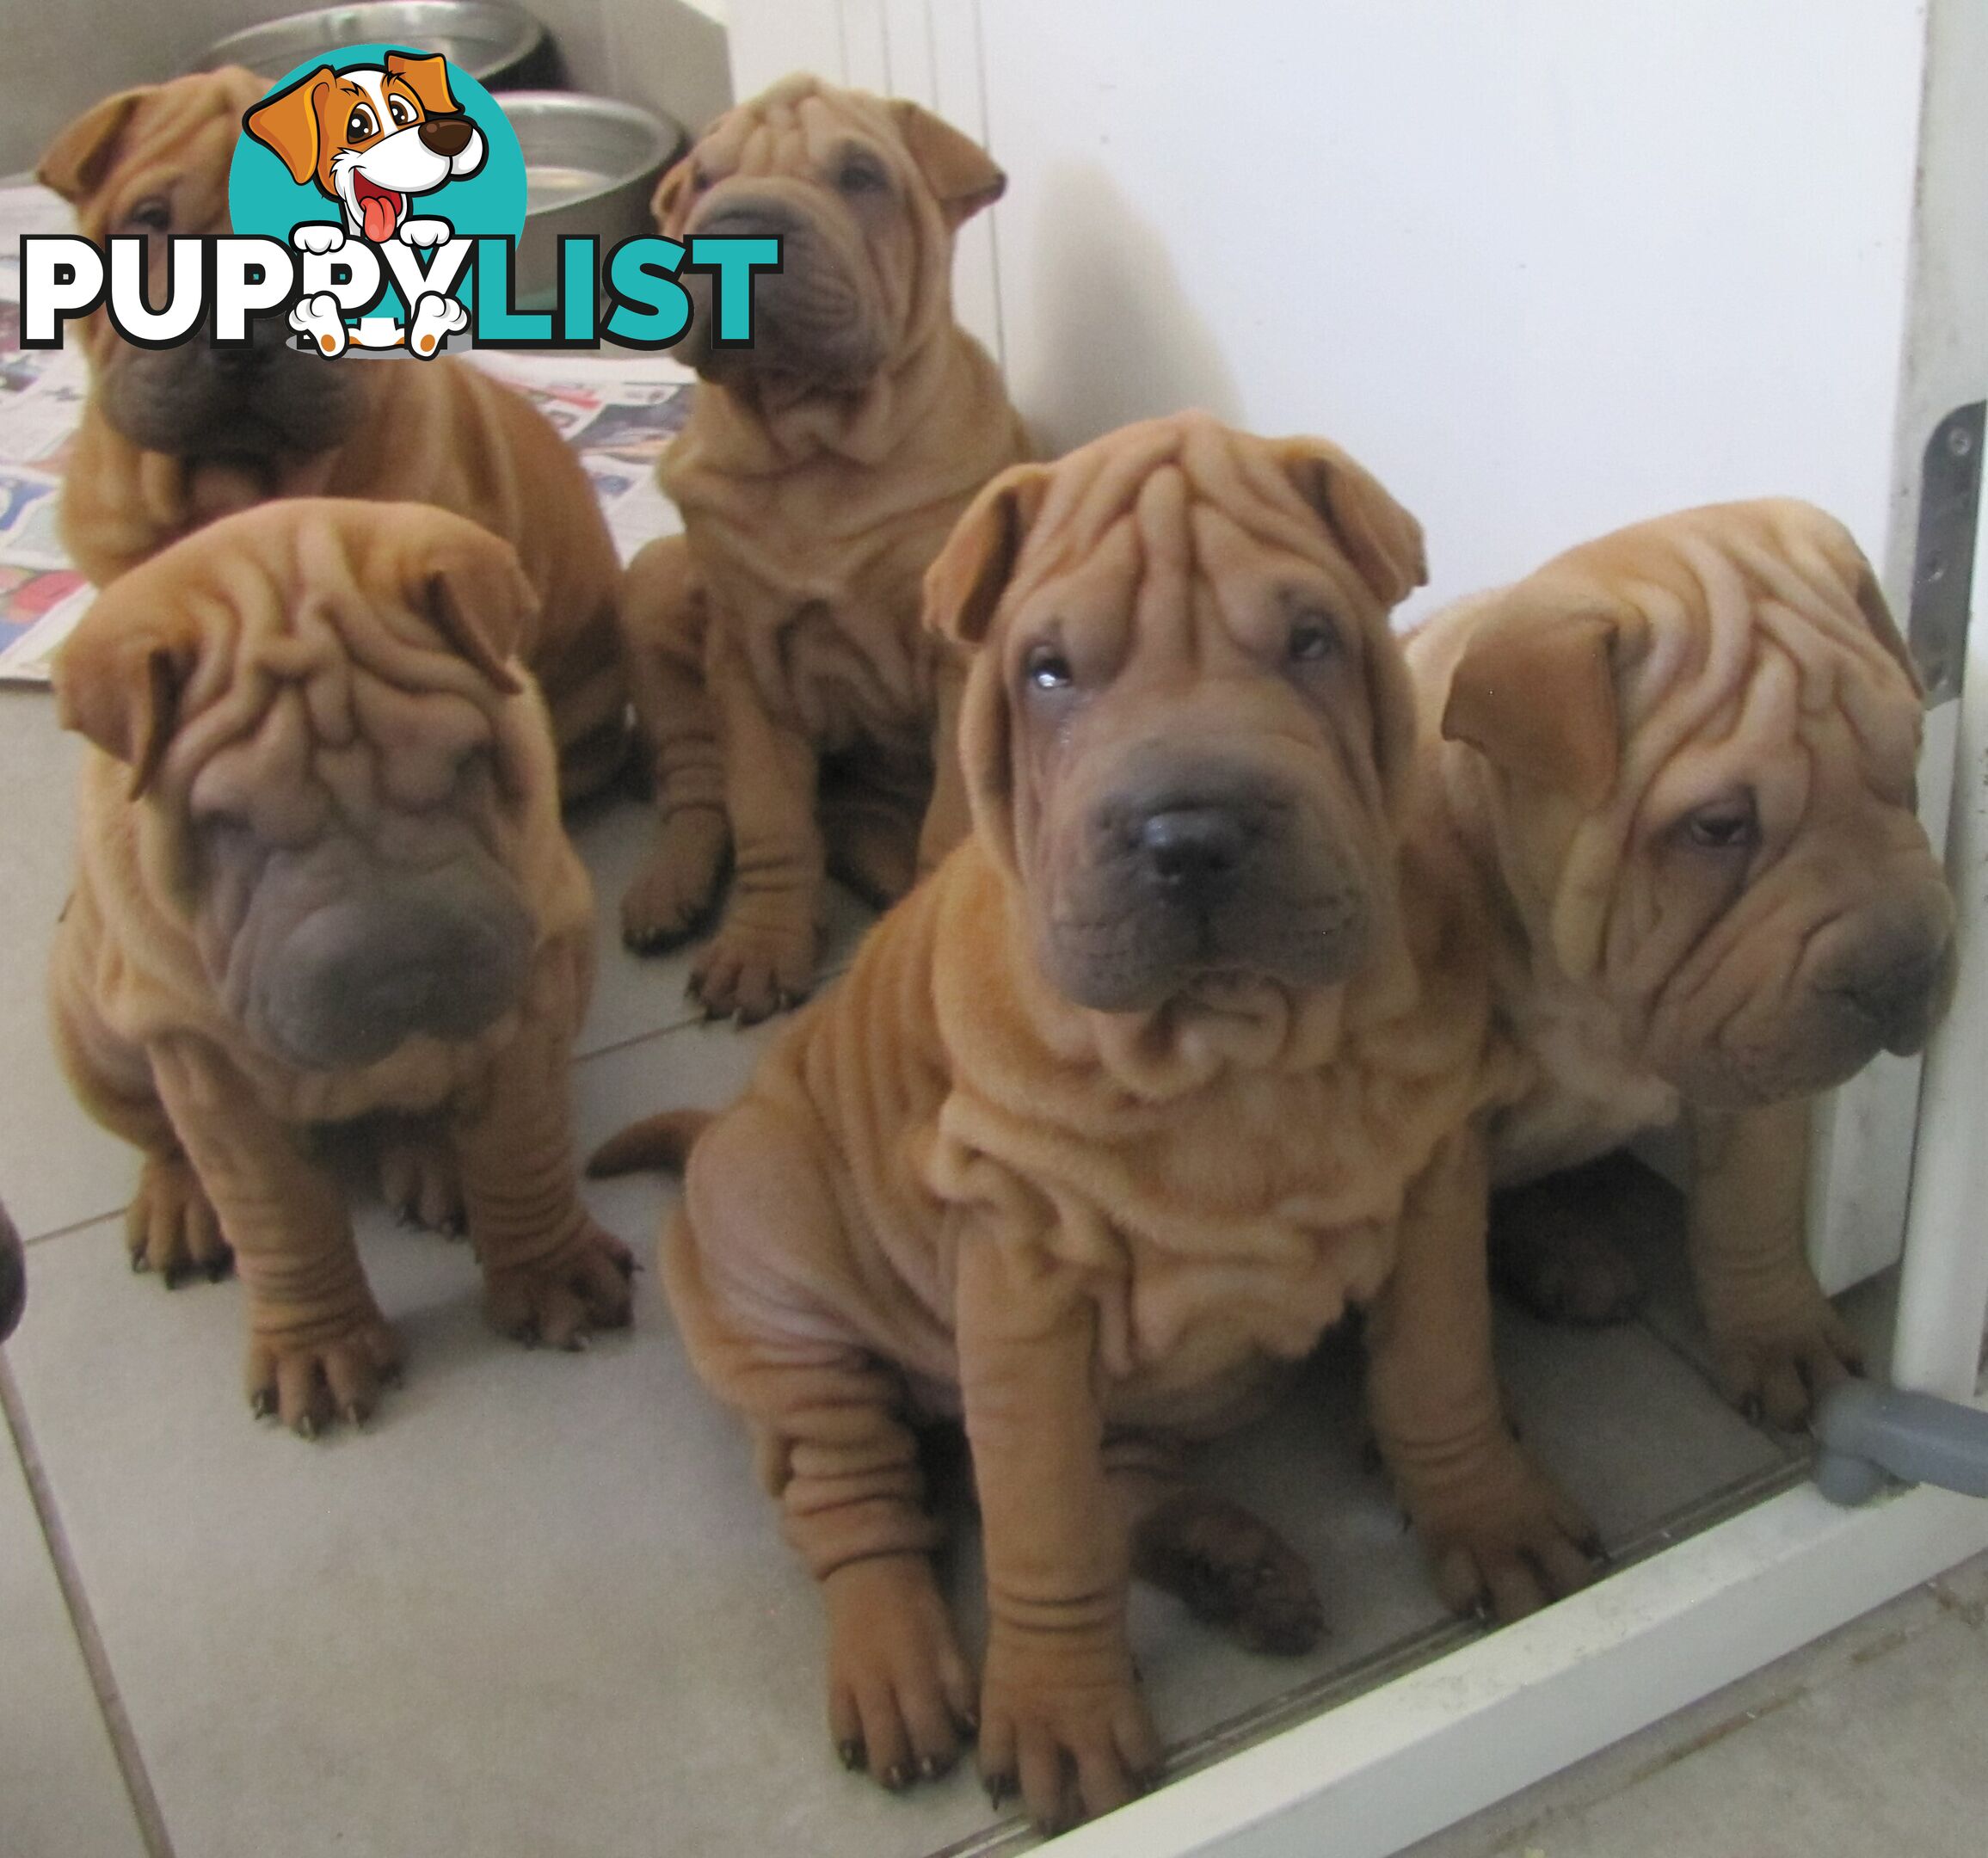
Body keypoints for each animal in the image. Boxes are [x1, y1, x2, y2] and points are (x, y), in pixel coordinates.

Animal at [50, 496, 631, 1438]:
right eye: (230, 824)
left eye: (464, 763)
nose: (403, 972)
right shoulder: (208, 1068)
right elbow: (278, 1216)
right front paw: (318, 1351)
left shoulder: (536, 991)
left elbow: (522, 1143)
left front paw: (551, 1272)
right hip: (88, 1036)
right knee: (160, 1136)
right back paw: (182, 1204)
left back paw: (434, 1157)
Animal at [600, 417, 1598, 1828]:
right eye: (1048, 672)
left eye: (1309, 640)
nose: (1193, 833)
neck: (1233, 1053)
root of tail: (714, 1131)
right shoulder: (1020, 1293)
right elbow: (1041, 1518)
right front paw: (1060, 1716)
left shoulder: (1432, 1185)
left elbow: (1439, 1373)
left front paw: (1489, 1515)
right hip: (785, 1316)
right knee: (862, 1510)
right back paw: (897, 1668)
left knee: (1126, 1484)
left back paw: (1236, 1562)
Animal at [616, 72, 1025, 1017]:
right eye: (704, 180)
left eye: (859, 176)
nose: (735, 227)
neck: (813, 452)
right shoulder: (747, 663)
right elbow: (767, 817)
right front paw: (760, 945)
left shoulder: (959, 662)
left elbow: (949, 815)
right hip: (653, 588)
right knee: (698, 789)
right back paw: (671, 887)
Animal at [1415, 501, 1956, 1430]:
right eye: (1716, 827)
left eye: (1912, 753)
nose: (1903, 976)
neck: (1583, 993)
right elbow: (1441, 1318)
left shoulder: (1751, 1048)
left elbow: (1751, 1209)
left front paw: (1781, 1338)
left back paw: (1569, 1255)